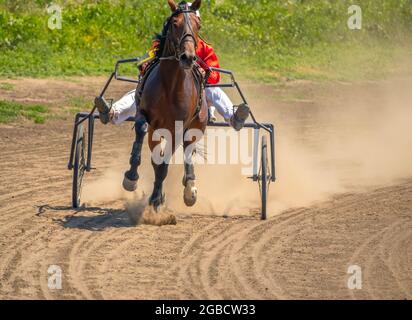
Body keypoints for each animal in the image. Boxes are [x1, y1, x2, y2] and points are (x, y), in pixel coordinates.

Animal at [121, 0, 206, 210]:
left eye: (198, 25)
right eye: (175, 23)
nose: (188, 57)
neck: (170, 86)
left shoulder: (177, 128)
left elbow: (165, 163)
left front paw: (156, 198)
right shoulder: (144, 114)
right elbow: (141, 130)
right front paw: (131, 176)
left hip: (197, 126)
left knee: (188, 150)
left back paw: (189, 188)